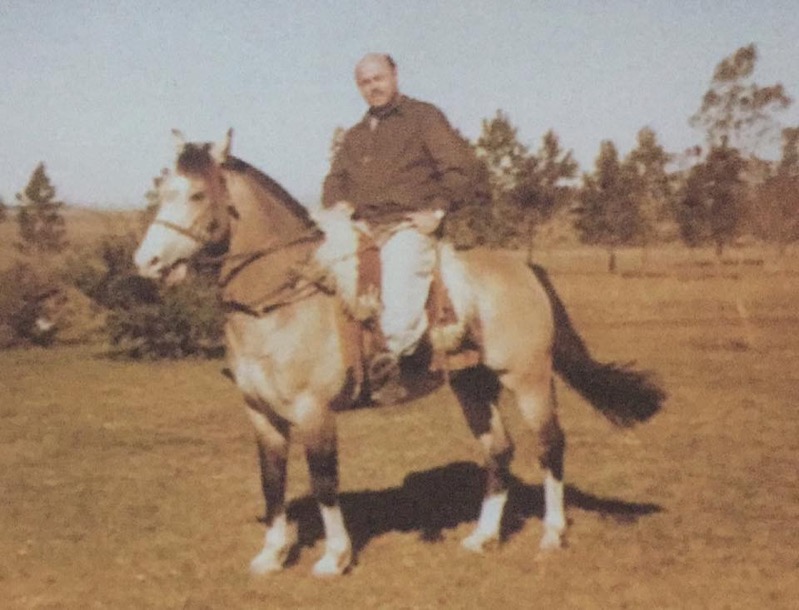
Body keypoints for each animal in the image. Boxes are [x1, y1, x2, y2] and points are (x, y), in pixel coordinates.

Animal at [134, 128, 664, 576]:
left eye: (197, 194)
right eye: (163, 192)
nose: (147, 263)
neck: (283, 301)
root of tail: (525, 268)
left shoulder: (314, 412)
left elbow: (324, 481)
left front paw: (334, 557)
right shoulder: (260, 414)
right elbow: (273, 481)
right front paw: (272, 554)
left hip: (528, 378)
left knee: (550, 445)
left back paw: (552, 535)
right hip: (473, 384)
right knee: (499, 451)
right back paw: (483, 537)